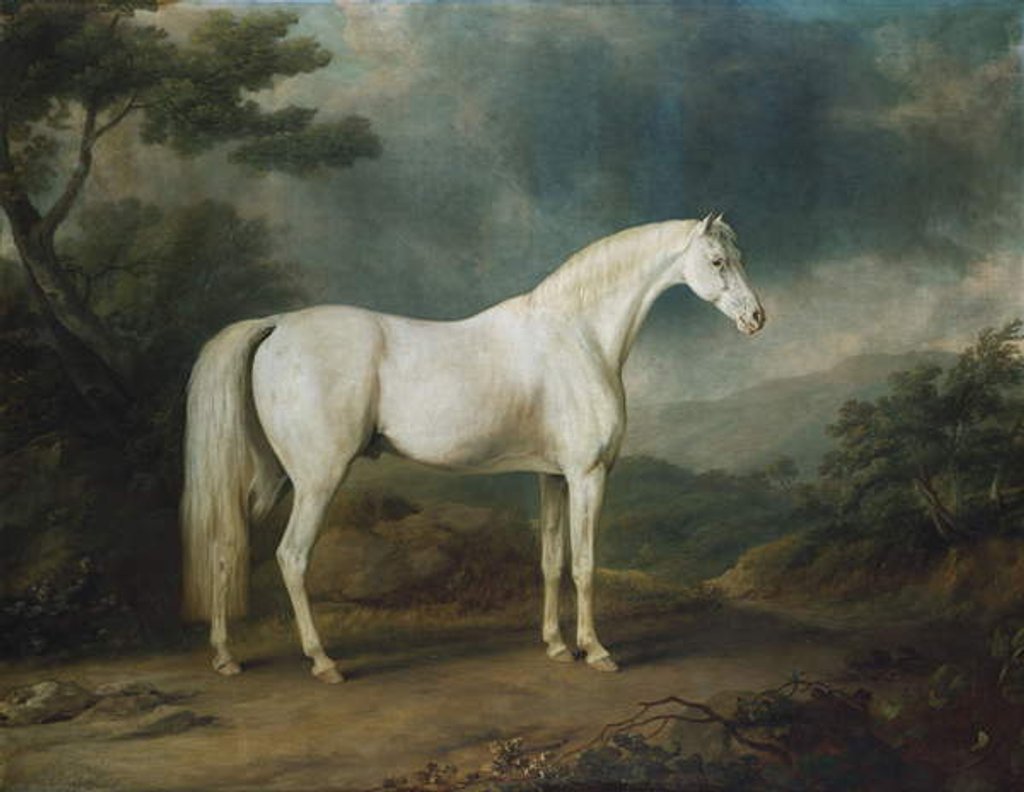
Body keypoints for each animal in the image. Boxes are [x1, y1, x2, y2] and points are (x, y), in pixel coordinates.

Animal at [180, 213, 765, 683]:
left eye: (740, 257)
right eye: (717, 260)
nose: (756, 318)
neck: (576, 336)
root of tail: (275, 324)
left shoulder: (553, 476)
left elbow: (551, 560)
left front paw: (556, 645)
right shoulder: (588, 474)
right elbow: (584, 564)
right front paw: (596, 651)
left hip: (273, 477)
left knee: (226, 544)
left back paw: (225, 656)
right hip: (317, 479)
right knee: (291, 556)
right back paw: (323, 662)